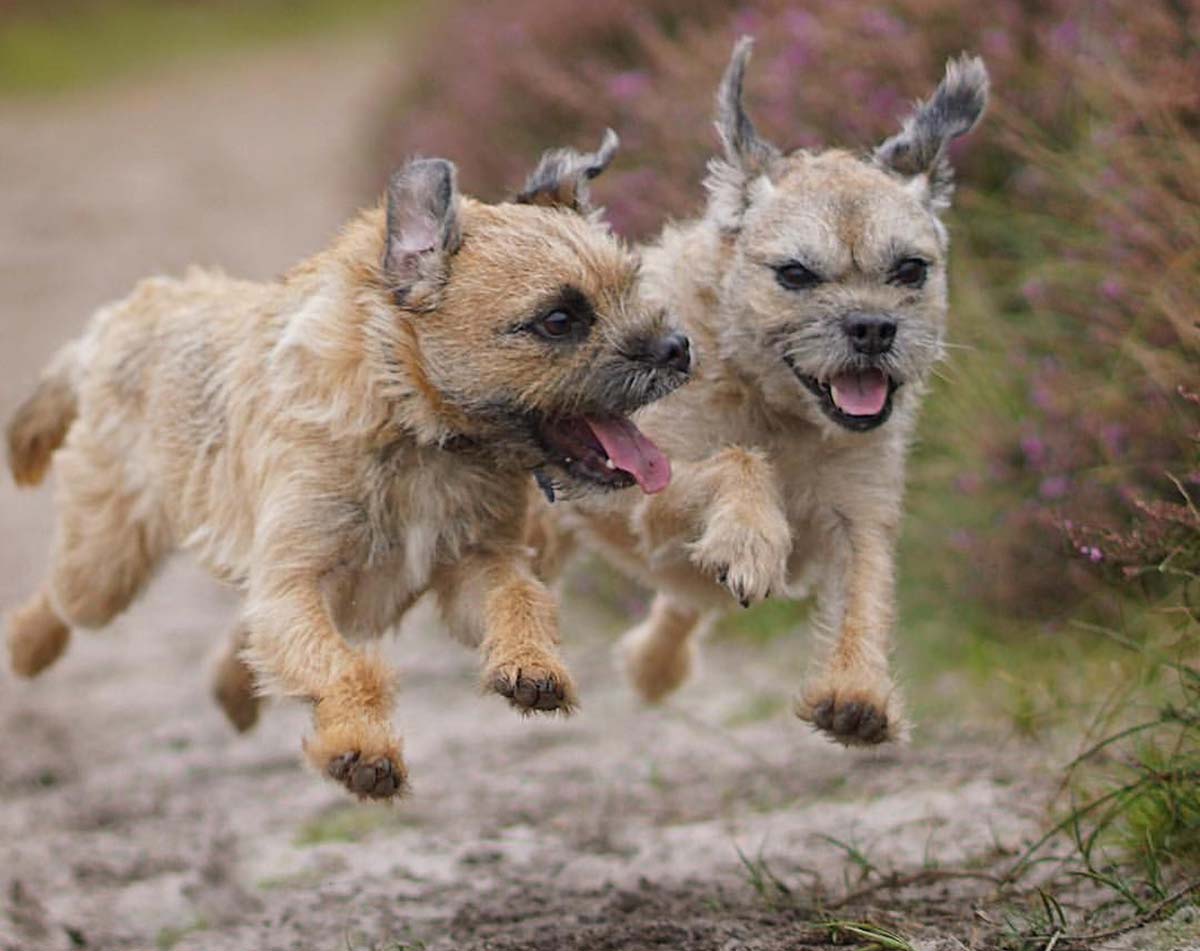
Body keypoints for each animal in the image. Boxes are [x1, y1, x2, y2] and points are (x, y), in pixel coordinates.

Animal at [4, 133, 691, 797]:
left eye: (632, 287)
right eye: (559, 319)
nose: (679, 347)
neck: (414, 427)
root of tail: (112, 324)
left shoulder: (475, 562)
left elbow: (518, 597)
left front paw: (531, 664)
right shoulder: (296, 584)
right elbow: (341, 667)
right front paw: (362, 753)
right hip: (105, 563)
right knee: (65, 599)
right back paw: (26, 647)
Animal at [530, 40, 988, 744]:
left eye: (911, 269)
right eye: (795, 274)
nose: (872, 326)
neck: (780, 409)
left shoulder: (860, 512)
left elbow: (866, 590)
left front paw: (858, 692)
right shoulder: (644, 495)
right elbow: (737, 463)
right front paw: (749, 538)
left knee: (682, 607)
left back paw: (653, 664)